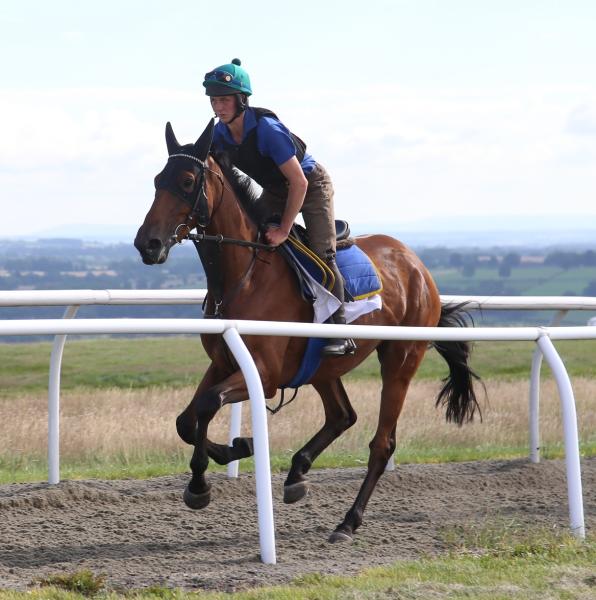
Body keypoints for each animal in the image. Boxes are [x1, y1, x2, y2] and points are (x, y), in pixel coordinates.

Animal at [135, 118, 480, 544]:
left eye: (185, 181)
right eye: (156, 180)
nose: (147, 243)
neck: (245, 275)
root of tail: (417, 265)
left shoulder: (265, 375)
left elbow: (207, 404)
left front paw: (205, 479)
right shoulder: (223, 362)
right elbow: (187, 419)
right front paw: (235, 449)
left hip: (401, 359)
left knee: (382, 443)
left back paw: (348, 522)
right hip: (321, 367)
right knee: (342, 415)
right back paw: (297, 473)